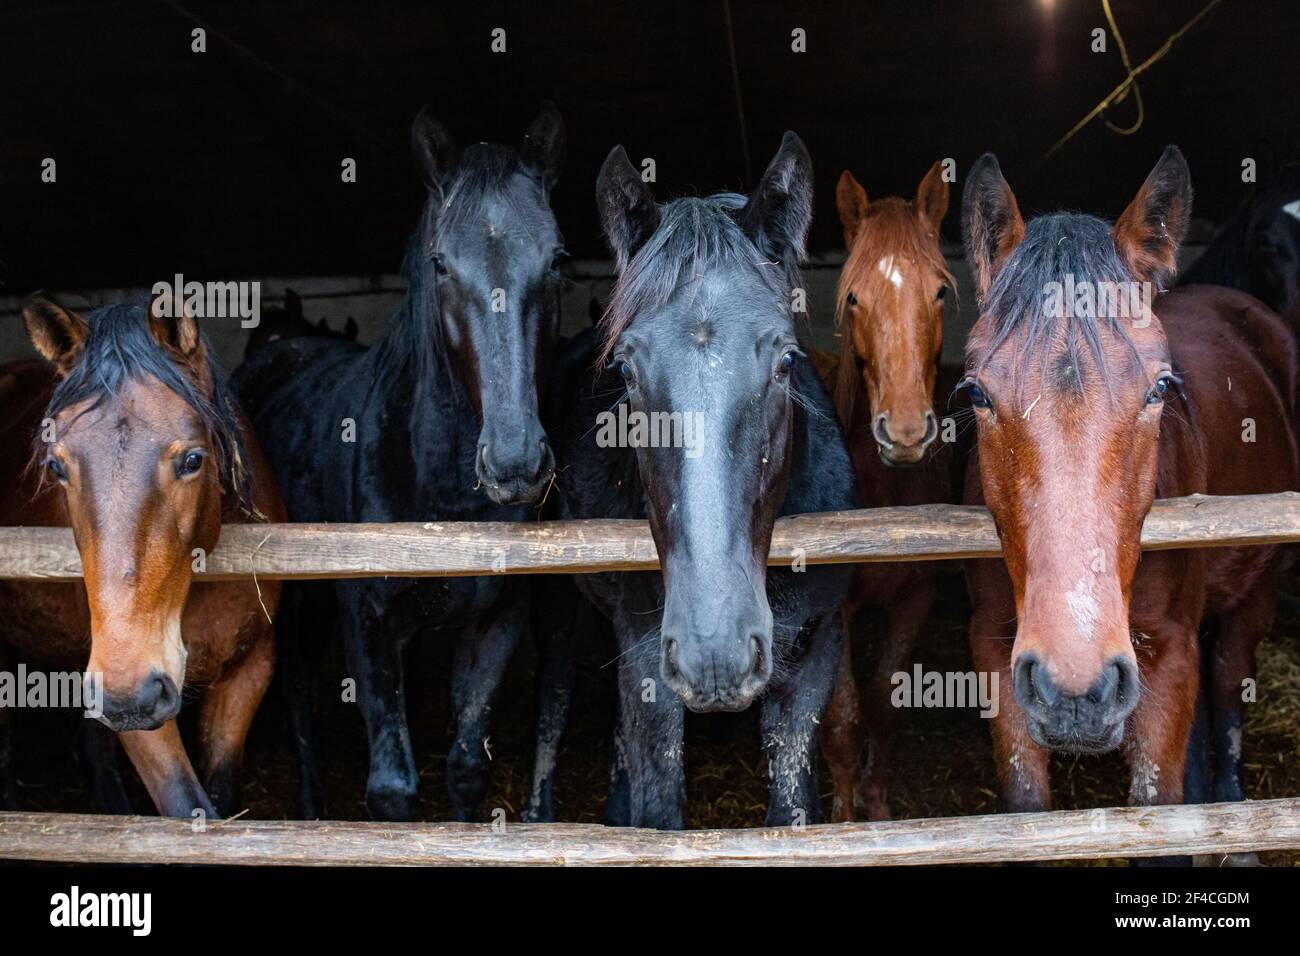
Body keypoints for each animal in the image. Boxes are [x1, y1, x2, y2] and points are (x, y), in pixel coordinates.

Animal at [0, 293, 285, 818]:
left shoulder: (249, 670)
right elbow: (186, 803)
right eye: (56, 467)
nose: (128, 693)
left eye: (192, 460)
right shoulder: (136, 707)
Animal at [232, 102, 566, 821]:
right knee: (294, 685)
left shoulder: (493, 622)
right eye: (441, 264)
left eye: (556, 259)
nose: (515, 463)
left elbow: (466, 765)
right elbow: (391, 787)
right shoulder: (368, 621)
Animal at [524, 134, 856, 828]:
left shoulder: (816, 656)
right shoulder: (648, 657)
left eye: (787, 359)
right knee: (553, 700)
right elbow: (659, 813)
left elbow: (792, 812)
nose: (715, 652)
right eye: (626, 368)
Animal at [959, 148, 1297, 842]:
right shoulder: (994, 652)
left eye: (1159, 387)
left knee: (1229, 691)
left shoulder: (1168, 659)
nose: (1076, 688)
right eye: (977, 392)